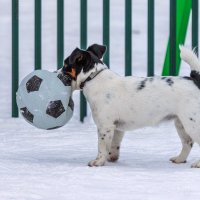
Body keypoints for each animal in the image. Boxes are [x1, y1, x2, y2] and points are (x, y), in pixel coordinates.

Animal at [61, 43, 200, 167]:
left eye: (65, 64)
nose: (58, 72)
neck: (93, 77)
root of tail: (195, 80)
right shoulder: (117, 128)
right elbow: (114, 144)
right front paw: (112, 157)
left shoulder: (105, 126)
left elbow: (102, 146)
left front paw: (98, 161)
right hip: (181, 123)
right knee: (188, 143)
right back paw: (179, 159)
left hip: (192, 123)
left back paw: (197, 164)